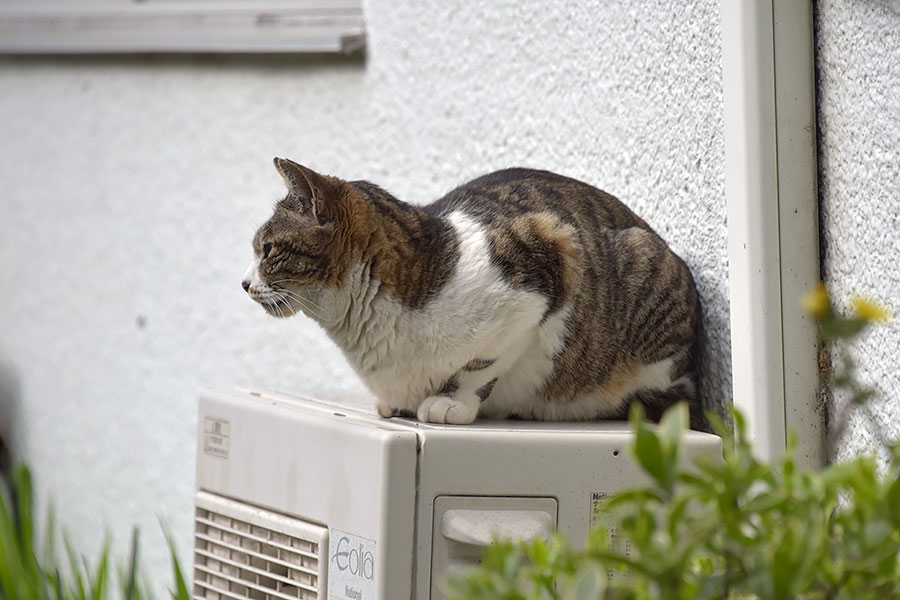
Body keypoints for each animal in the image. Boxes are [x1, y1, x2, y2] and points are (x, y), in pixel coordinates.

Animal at [241, 155, 704, 426]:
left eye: (267, 250)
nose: (243, 283)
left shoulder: (547, 263)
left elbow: (479, 367)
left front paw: (448, 403)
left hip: (644, 270)